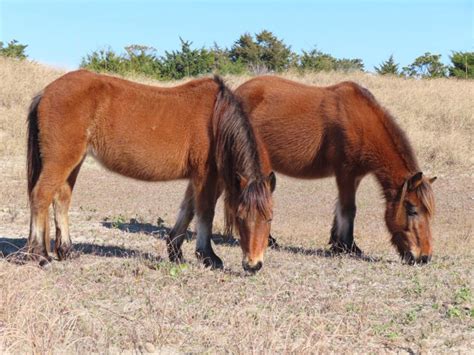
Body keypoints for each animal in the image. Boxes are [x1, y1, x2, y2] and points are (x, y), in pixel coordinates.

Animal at [25, 71, 274, 272]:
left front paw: (175, 252)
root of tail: (46, 91)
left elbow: (188, 210)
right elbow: (205, 212)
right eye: (240, 217)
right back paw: (40, 255)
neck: (216, 117)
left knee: (61, 200)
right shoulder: (206, 176)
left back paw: (66, 251)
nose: (253, 265)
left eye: (269, 218)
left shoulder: (197, 178)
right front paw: (208, 256)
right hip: (60, 160)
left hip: (73, 162)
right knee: (41, 196)